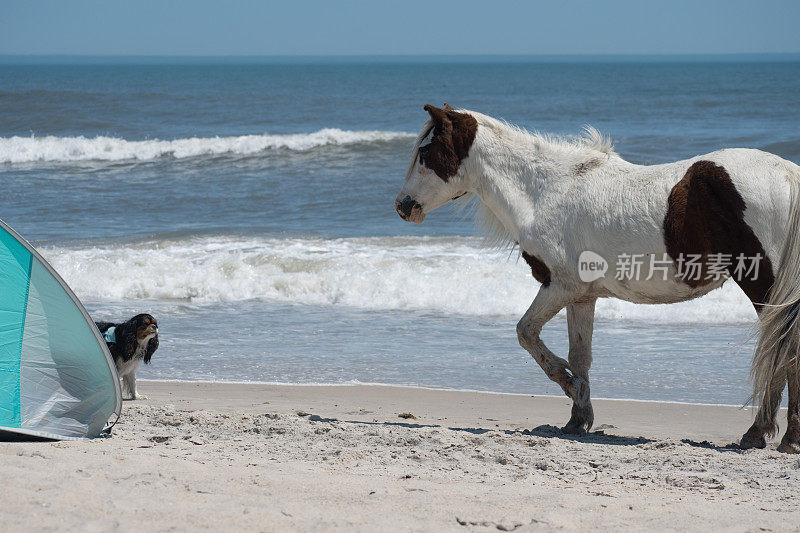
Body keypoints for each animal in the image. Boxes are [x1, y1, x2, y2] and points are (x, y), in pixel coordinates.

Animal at [396, 104, 800, 454]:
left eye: (427, 153)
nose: (402, 206)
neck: (547, 191)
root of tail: (787, 175)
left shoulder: (561, 286)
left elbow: (526, 332)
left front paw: (572, 390)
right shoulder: (582, 296)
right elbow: (580, 355)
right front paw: (578, 419)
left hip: (764, 286)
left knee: (784, 350)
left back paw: (768, 434)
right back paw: (775, 436)